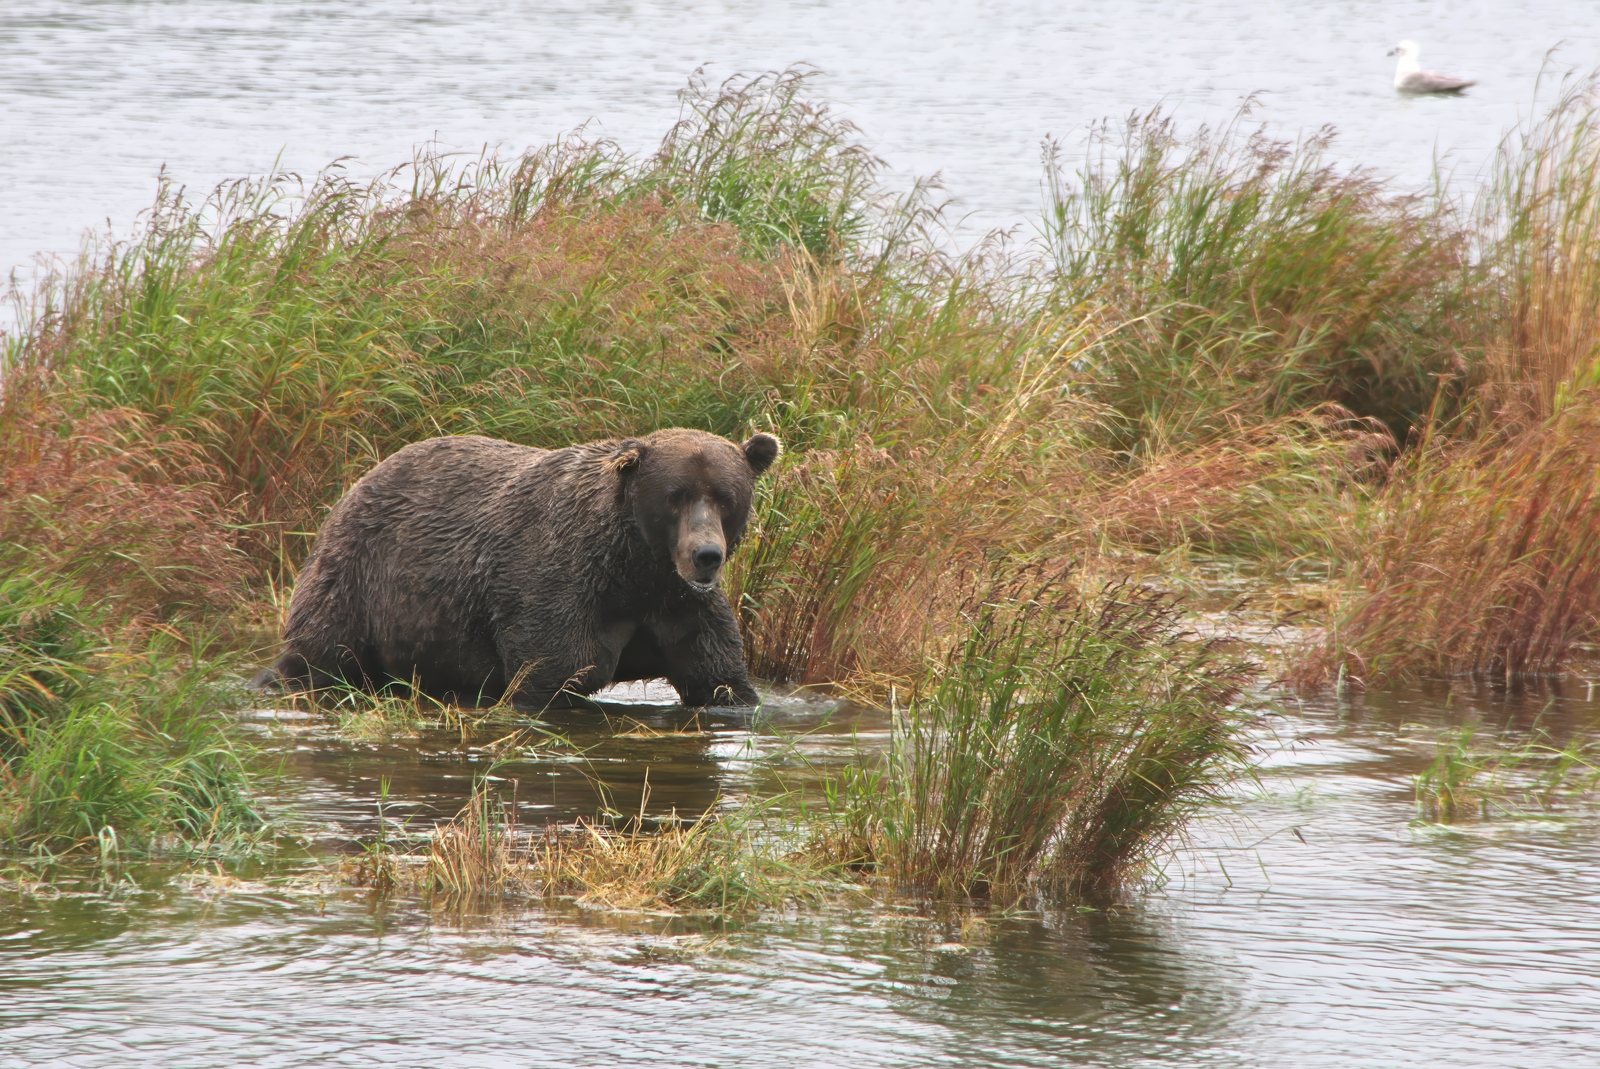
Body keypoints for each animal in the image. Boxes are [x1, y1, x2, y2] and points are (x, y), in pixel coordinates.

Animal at [258, 428, 781, 709]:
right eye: (675, 496)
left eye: (725, 497)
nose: (705, 555)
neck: (631, 570)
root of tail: (358, 482)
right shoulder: (556, 584)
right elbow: (553, 670)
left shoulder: (678, 605)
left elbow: (718, 677)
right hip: (360, 575)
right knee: (322, 651)